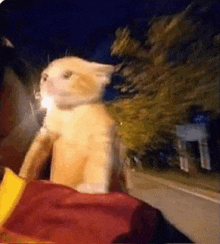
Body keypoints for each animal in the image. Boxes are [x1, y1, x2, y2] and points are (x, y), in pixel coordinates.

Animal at [18, 56, 127, 193]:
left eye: (67, 74)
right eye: (45, 77)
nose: (46, 81)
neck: (70, 114)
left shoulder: (101, 136)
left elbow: (98, 163)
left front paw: (92, 187)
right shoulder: (46, 132)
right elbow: (32, 155)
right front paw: (22, 176)